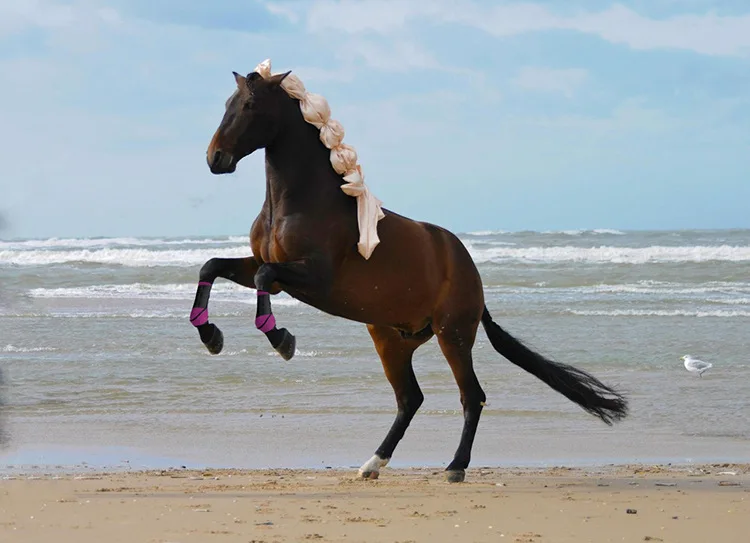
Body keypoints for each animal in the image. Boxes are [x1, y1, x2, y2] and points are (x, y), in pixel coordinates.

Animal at [191, 61, 628, 483]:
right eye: (227, 104)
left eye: (249, 105)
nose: (215, 159)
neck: (300, 202)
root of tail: (469, 271)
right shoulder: (269, 269)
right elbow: (214, 267)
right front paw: (211, 335)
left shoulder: (313, 278)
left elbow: (263, 277)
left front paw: (282, 339)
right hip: (392, 339)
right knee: (410, 399)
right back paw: (372, 464)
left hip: (453, 335)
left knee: (471, 396)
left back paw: (455, 466)